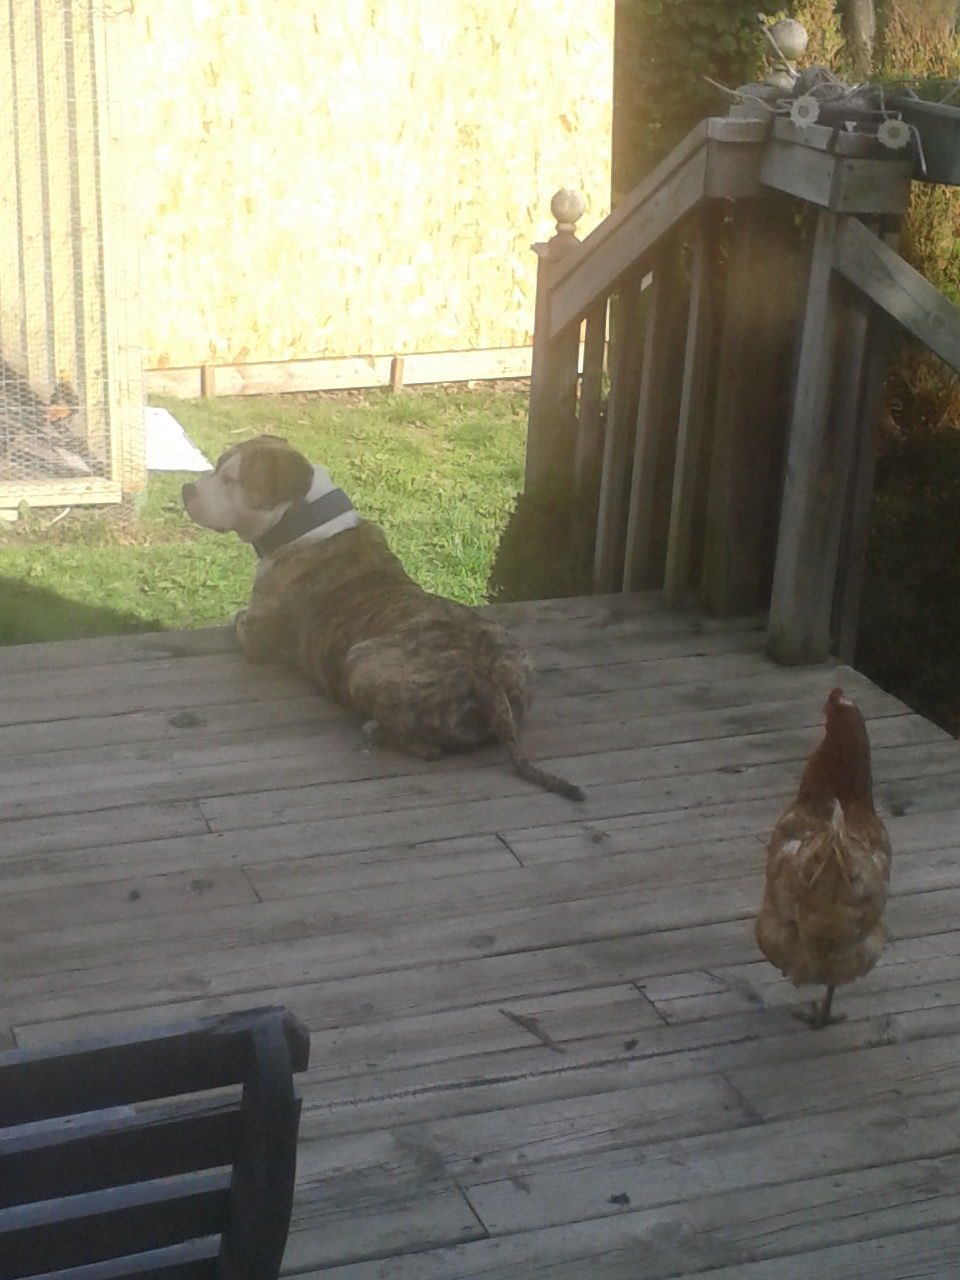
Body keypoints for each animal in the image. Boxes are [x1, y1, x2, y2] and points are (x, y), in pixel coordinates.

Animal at [182, 435, 583, 801]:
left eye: (231, 479)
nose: (187, 489)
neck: (305, 521)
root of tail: (487, 683)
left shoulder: (254, 635)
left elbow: (239, 620)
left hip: (361, 659)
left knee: (429, 749)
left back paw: (376, 729)